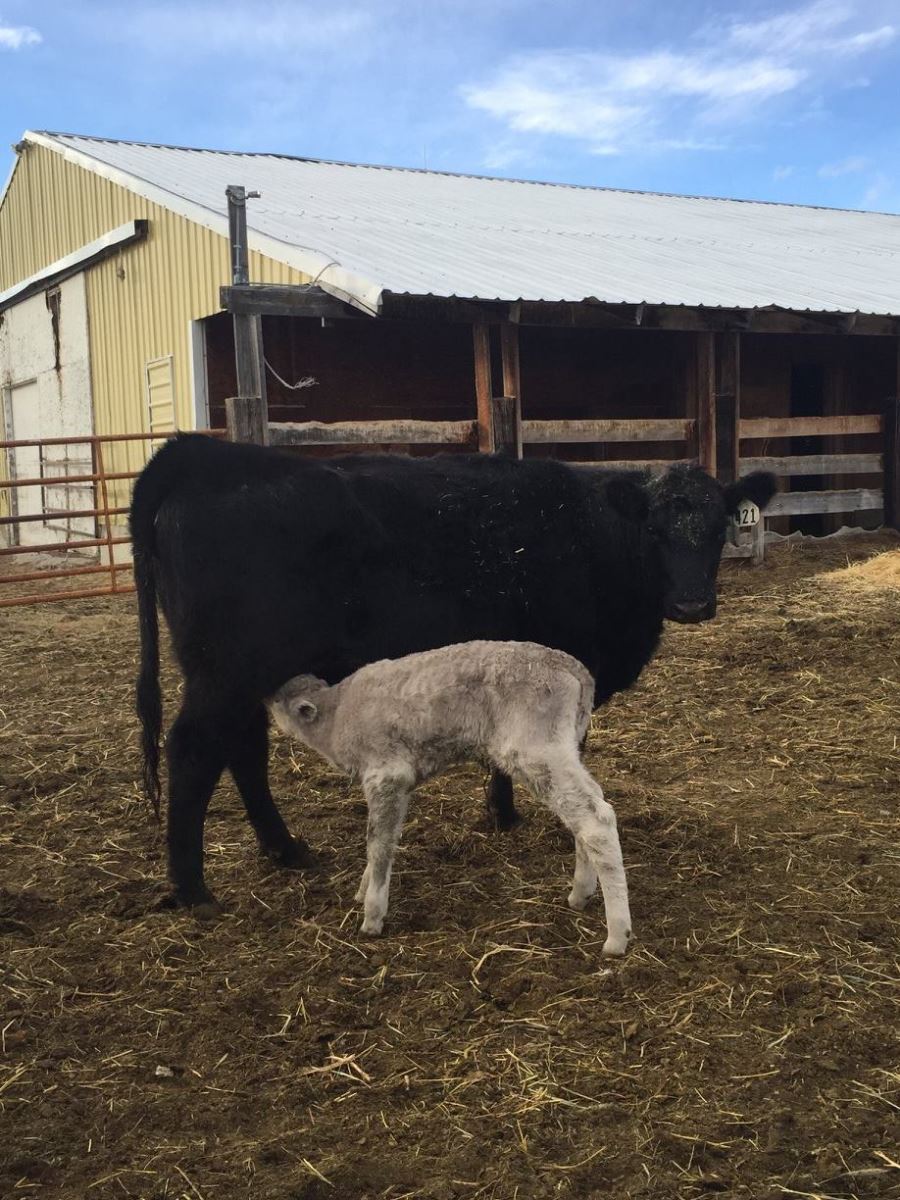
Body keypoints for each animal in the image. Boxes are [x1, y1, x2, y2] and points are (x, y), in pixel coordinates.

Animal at [130, 432, 777, 907]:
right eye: (656, 531)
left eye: (719, 528)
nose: (692, 603)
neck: (597, 537)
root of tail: (206, 453)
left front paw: (502, 812)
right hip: (225, 673)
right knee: (195, 750)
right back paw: (191, 888)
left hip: (246, 674)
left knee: (242, 749)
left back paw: (285, 849)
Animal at [267, 638, 633, 955]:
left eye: (278, 699)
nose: (262, 697)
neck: (336, 717)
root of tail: (575, 671)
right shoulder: (400, 784)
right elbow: (384, 838)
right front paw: (363, 890)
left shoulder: (387, 775)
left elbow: (378, 844)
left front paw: (372, 917)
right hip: (562, 744)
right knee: (589, 807)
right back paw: (581, 893)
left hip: (534, 747)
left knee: (595, 819)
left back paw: (616, 936)